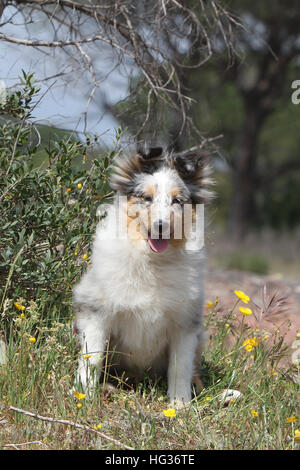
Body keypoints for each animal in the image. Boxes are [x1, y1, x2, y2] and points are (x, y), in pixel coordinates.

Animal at [72, 147, 213, 408]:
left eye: (177, 201)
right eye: (147, 198)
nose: (160, 226)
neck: (152, 261)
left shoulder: (185, 324)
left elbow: (180, 368)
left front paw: (179, 406)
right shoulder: (96, 312)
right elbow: (92, 358)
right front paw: (83, 395)